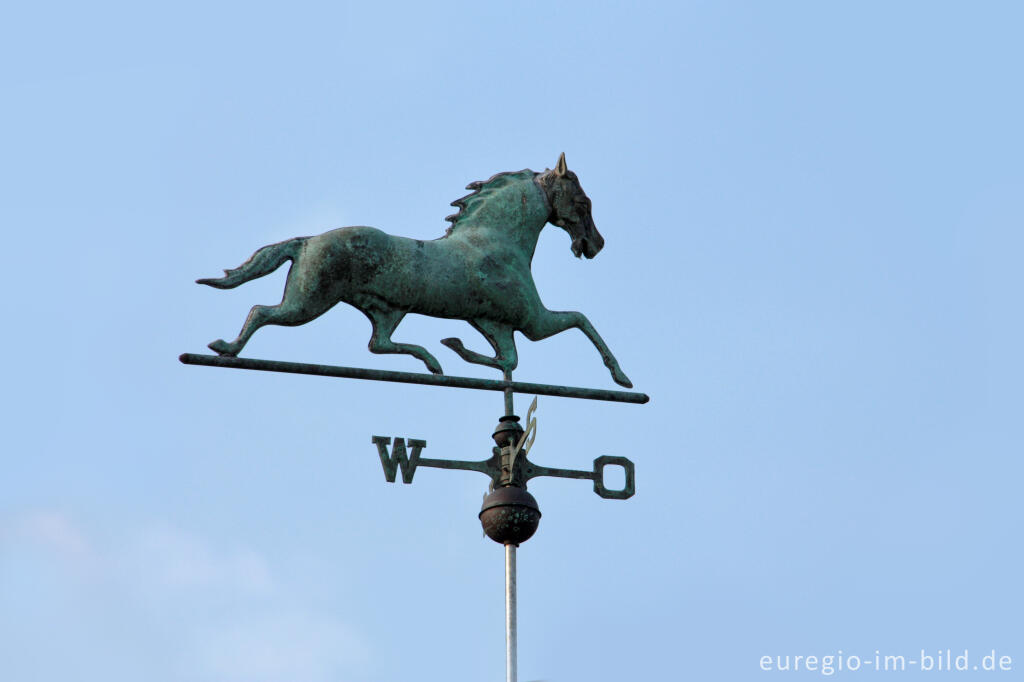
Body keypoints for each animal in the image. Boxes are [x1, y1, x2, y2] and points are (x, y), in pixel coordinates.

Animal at [198, 155, 630, 387]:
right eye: (583, 202)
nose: (595, 244)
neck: (494, 239)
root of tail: (306, 241)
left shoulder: (495, 323)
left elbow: (509, 361)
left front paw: (456, 347)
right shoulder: (532, 321)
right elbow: (581, 321)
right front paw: (622, 378)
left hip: (385, 310)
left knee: (379, 344)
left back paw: (433, 361)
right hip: (309, 300)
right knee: (260, 312)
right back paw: (227, 348)